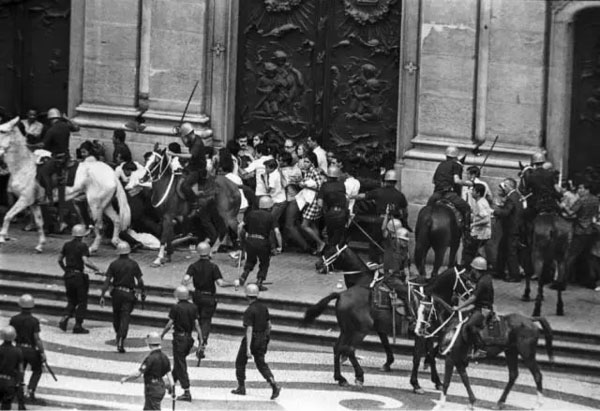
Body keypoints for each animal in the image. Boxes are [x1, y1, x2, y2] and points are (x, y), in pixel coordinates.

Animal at [0, 116, 131, 254]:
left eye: (3, 131)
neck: (24, 166)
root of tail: (112, 175)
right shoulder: (34, 203)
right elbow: (39, 224)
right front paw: (41, 244)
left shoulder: (24, 200)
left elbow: (8, 216)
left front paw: (3, 236)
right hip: (105, 204)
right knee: (116, 220)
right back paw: (115, 241)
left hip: (95, 205)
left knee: (99, 227)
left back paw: (93, 248)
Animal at [418, 296, 552, 408]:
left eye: (425, 311)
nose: (418, 330)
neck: (452, 325)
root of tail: (530, 319)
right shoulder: (458, 360)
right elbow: (465, 379)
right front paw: (472, 401)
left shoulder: (451, 358)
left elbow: (447, 382)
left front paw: (441, 403)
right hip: (511, 352)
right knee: (513, 375)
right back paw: (500, 402)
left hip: (527, 354)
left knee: (537, 375)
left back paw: (538, 404)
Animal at [516, 166, 576, 318]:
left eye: (521, 176)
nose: (520, 189)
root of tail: (553, 228)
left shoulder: (527, 250)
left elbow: (528, 272)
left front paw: (527, 294)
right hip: (561, 257)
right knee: (559, 279)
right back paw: (559, 307)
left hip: (537, 255)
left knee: (540, 277)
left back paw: (537, 309)